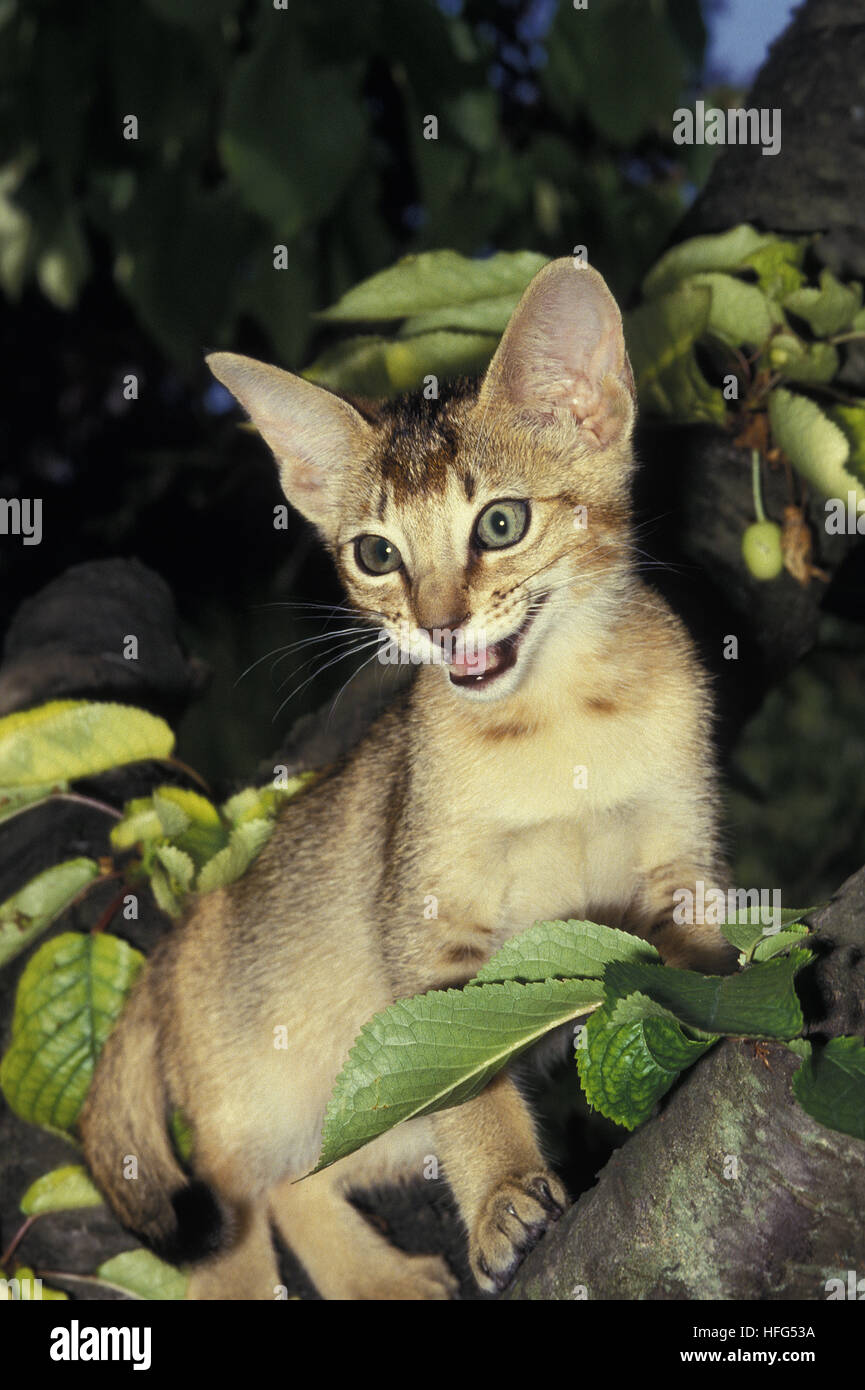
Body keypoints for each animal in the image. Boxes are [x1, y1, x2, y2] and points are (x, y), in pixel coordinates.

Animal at [79, 258, 734, 1301]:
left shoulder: (682, 854)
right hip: (256, 1111)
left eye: (501, 522)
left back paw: (377, 1281)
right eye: (375, 553)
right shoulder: (427, 923)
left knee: (299, 1185)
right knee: (236, 1221)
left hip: (364, 1104)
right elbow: (467, 1086)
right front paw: (504, 1199)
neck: (557, 726)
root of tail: (171, 949)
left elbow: (688, 958)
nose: (435, 624)